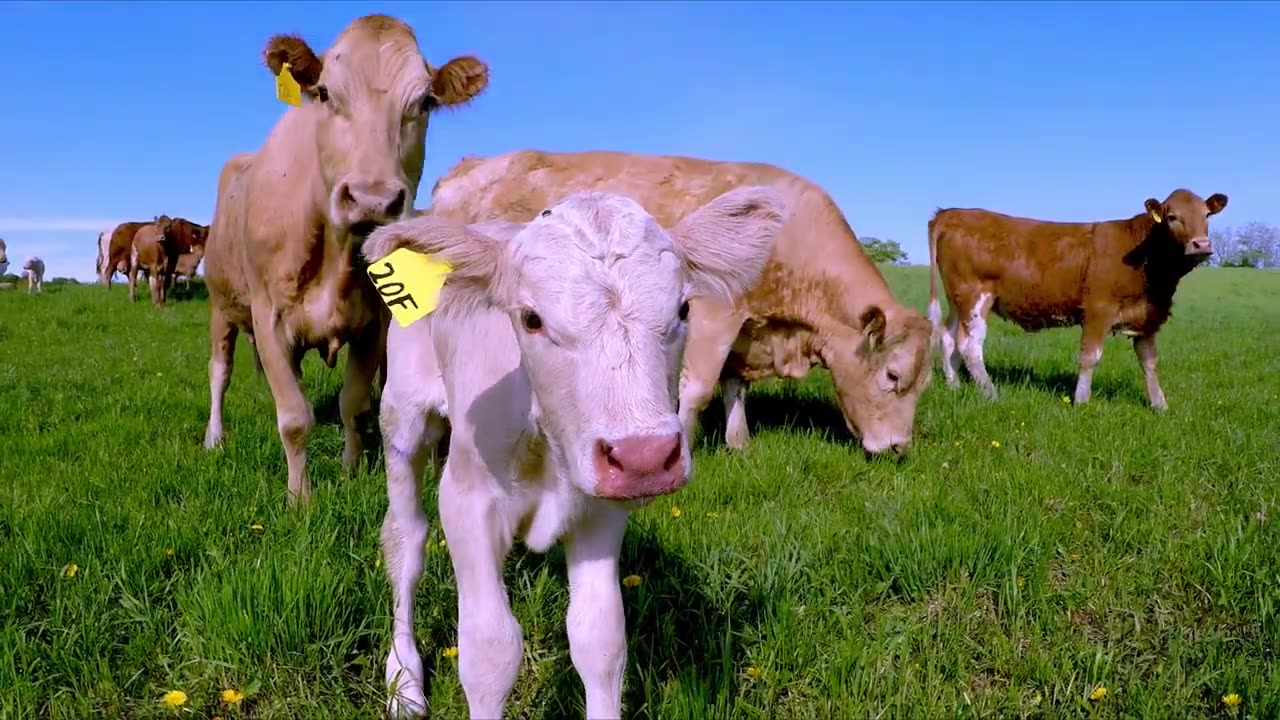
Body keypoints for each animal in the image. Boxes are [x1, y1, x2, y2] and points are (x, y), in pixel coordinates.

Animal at [199, 12, 488, 504]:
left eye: (426, 102)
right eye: (325, 94)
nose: (372, 199)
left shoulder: (374, 323)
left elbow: (352, 401)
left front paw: (351, 469)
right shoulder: (268, 318)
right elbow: (295, 418)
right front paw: (300, 497)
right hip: (222, 304)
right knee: (220, 372)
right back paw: (214, 437)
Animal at [366, 185, 783, 717]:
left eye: (684, 310)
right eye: (531, 319)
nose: (646, 456)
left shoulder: (602, 509)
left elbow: (600, 642)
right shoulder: (466, 501)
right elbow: (489, 651)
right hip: (402, 412)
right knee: (405, 539)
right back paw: (404, 680)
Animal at [424, 149, 936, 456]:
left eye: (925, 383)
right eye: (892, 377)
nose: (898, 448)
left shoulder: (746, 331)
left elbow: (734, 388)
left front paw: (738, 442)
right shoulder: (714, 315)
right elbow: (698, 389)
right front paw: (686, 448)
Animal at [931, 188, 1228, 407]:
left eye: (1206, 215)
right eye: (1172, 217)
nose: (1201, 244)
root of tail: (951, 213)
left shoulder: (1147, 315)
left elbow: (1149, 361)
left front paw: (1159, 404)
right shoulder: (1098, 309)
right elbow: (1089, 357)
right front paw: (1081, 401)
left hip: (957, 298)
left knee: (948, 337)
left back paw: (954, 385)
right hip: (974, 295)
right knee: (969, 345)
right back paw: (991, 394)